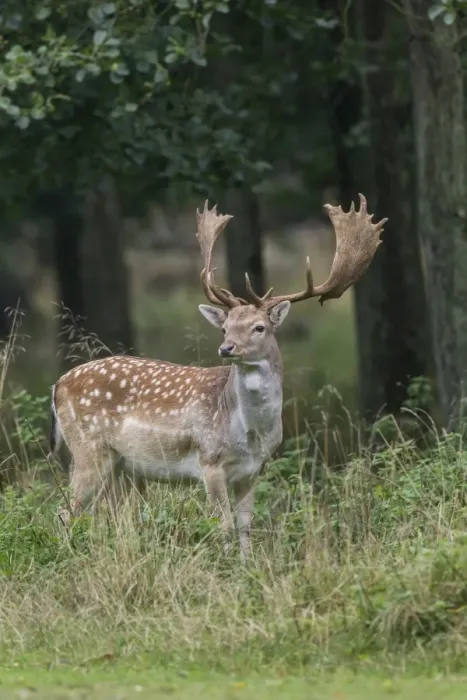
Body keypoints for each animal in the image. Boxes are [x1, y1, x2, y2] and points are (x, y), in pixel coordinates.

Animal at [50, 194, 387, 560]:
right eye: (225, 327)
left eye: (259, 327)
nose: (226, 348)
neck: (249, 433)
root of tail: (58, 385)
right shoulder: (208, 462)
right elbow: (222, 526)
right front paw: (225, 567)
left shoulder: (254, 470)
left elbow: (244, 526)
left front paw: (246, 566)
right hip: (88, 448)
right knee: (65, 510)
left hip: (114, 462)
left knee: (89, 511)